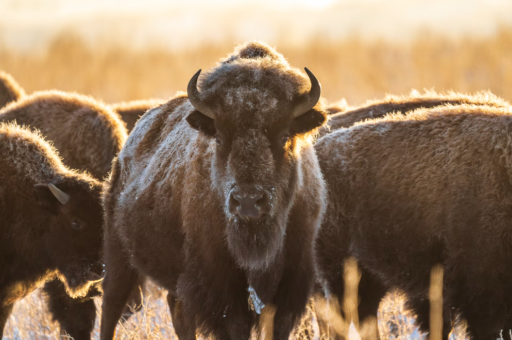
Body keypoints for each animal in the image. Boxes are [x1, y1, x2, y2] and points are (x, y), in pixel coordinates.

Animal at [100, 41, 328, 340]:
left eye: (284, 137)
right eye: (219, 137)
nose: (247, 202)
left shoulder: (291, 283)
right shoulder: (221, 285)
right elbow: (236, 325)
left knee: (176, 309)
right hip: (118, 256)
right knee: (111, 307)